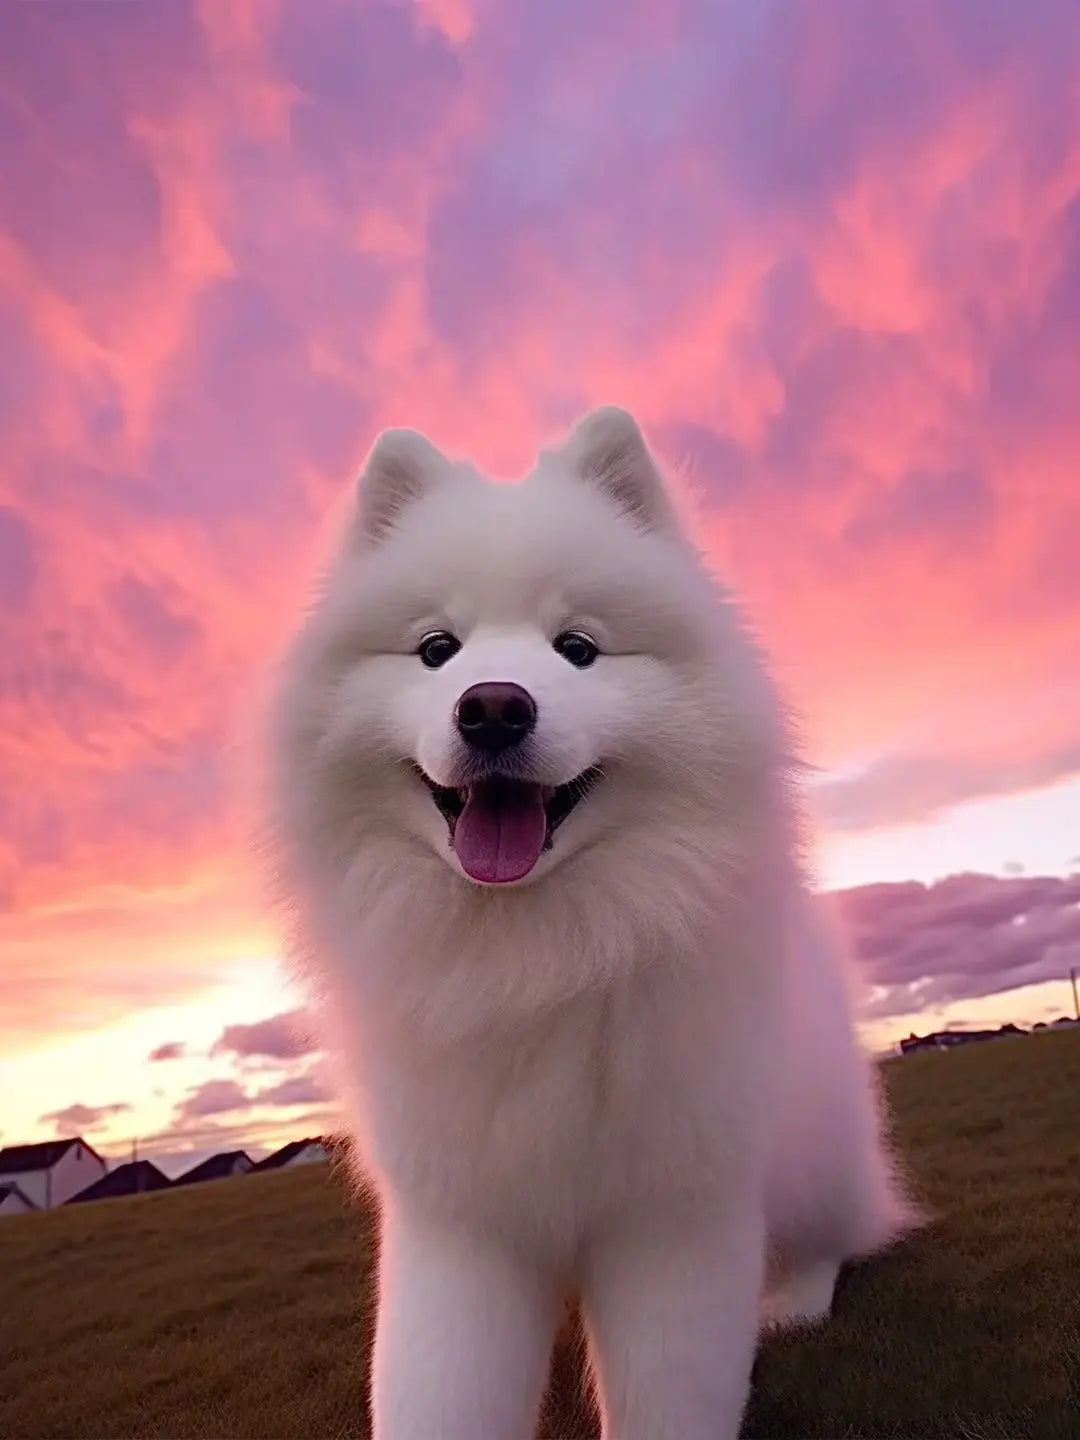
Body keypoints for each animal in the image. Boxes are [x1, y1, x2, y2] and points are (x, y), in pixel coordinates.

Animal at [264, 408, 915, 1440]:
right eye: (437, 649)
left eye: (577, 647)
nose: (494, 707)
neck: (538, 957)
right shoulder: (462, 1230)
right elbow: (436, 1392)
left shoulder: (674, 1221)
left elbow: (670, 1397)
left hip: (811, 1148)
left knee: (834, 1232)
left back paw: (797, 1300)